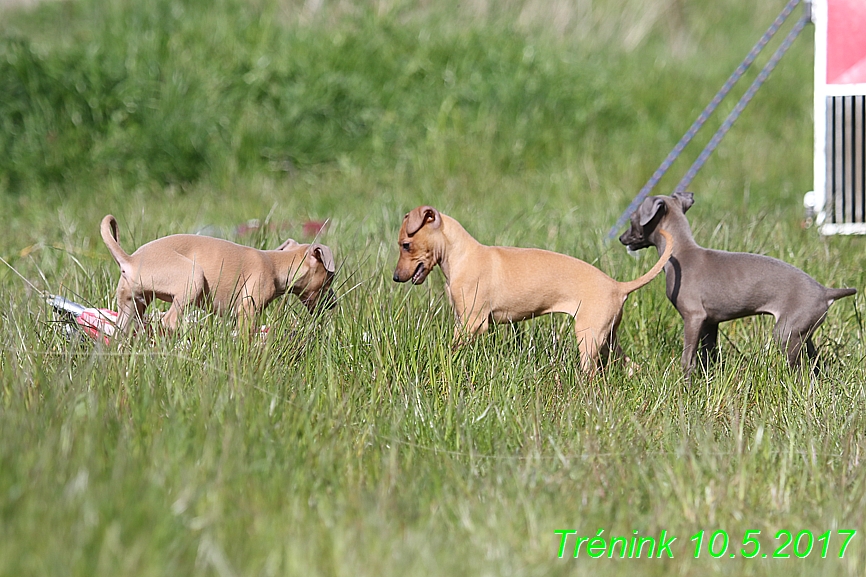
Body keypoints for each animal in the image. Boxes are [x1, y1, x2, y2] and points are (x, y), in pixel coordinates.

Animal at [98, 215, 334, 332]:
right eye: (329, 281)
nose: (334, 306)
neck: (276, 264)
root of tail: (130, 259)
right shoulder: (248, 309)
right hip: (192, 278)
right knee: (169, 320)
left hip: (131, 306)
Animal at [392, 205, 668, 376]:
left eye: (406, 245)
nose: (395, 277)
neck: (462, 255)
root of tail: (618, 286)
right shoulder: (465, 320)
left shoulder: (474, 323)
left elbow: (453, 347)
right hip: (607, 337)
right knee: (631, 366)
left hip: (589, 338)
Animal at [616, 191, 852, 376]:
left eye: (632, 218)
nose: (620, 238)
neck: (682, 253)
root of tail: (825, 291)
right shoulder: (709, 323)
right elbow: (707, 356)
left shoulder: (694, 317)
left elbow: (688, 359)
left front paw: (687, 388)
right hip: (804, 331)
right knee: (816, 364)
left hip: (786, 333)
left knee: (803, 370)